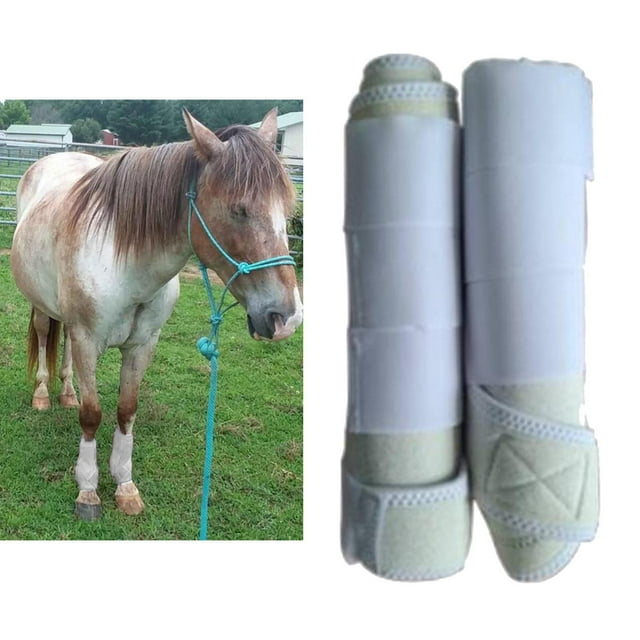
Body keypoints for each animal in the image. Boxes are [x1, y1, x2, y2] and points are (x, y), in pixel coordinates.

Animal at [9, 108, 303, 521]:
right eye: (238, 209)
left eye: (286, 210)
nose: (286, 318)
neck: (124, 263)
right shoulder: (88, 340)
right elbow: (92, 414)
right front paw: (88, 491)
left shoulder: (143, 345)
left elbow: (126, 409)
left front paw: (125, 486)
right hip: (39, 304)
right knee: (41, 333)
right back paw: (42, 395)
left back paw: (66, 393)